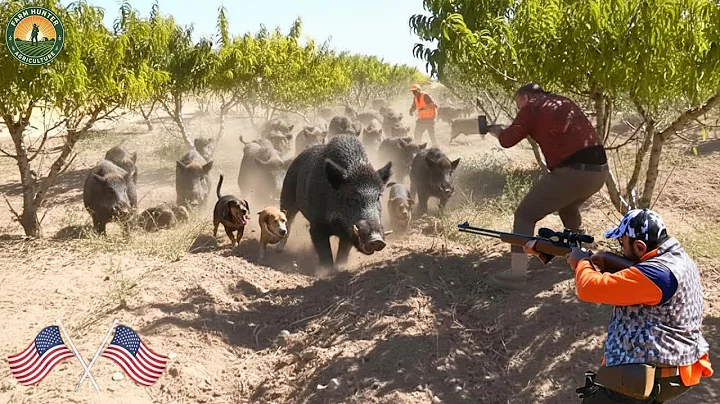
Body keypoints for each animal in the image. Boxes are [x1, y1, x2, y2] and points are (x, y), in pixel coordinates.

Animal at [276, 134, 393, 269]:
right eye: (352, 198)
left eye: (378, 197)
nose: (376, 240)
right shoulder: (316, 226)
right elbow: (325, 253)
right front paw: (326, 271)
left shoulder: (348, 233)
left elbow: (343, 253)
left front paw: (340, 268)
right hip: (287, 194)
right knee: (288, 220)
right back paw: (278, 250)